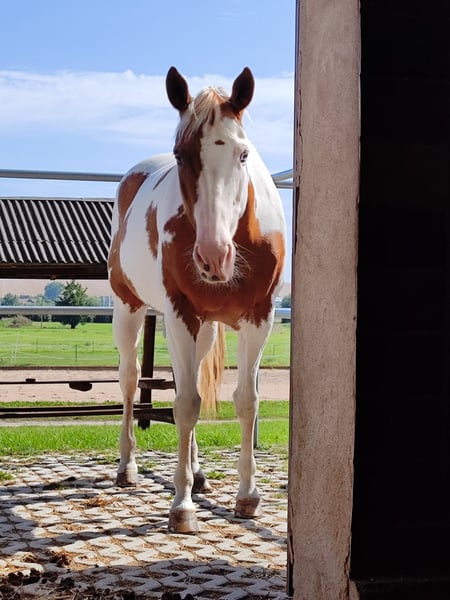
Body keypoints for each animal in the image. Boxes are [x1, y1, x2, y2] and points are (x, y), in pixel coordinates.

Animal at [108, 66, 286, 534]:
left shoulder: (260, 318)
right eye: (181, 155)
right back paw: (127, 467)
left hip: (203, 329)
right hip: (129, 309)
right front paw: (182, 505)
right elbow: (185, 406)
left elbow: (245, 402)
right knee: (130, 380)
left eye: (243, 155)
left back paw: (199, 471)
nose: (213, 256)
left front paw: (248, 496)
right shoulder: (178, 313)